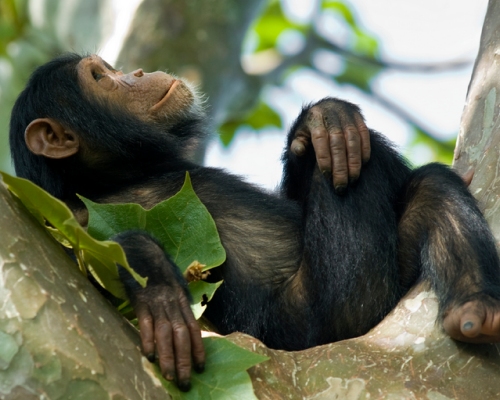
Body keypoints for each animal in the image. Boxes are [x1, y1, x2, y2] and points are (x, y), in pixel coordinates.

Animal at [6, 53, 500, 390]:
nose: (138, 73)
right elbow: (88, 251)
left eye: (109, 69)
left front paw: (324, 118)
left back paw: (476, 308)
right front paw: (160, 292)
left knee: (427, 186)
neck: (123, 174)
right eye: (99, 77)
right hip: (335, 311)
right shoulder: (65, 214)